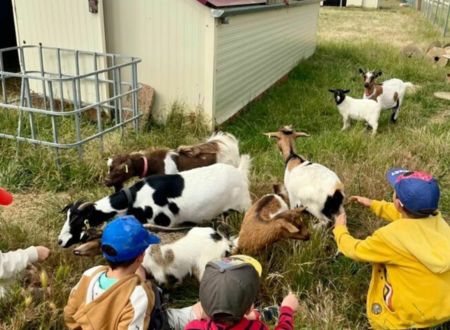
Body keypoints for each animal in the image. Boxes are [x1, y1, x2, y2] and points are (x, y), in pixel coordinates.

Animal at [58, 155, 251, 248]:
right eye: (67, 216)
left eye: (77, 220)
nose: (60, 241)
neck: (133, 200)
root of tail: (239, 172)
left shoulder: (165, 224)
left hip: (243, 206)